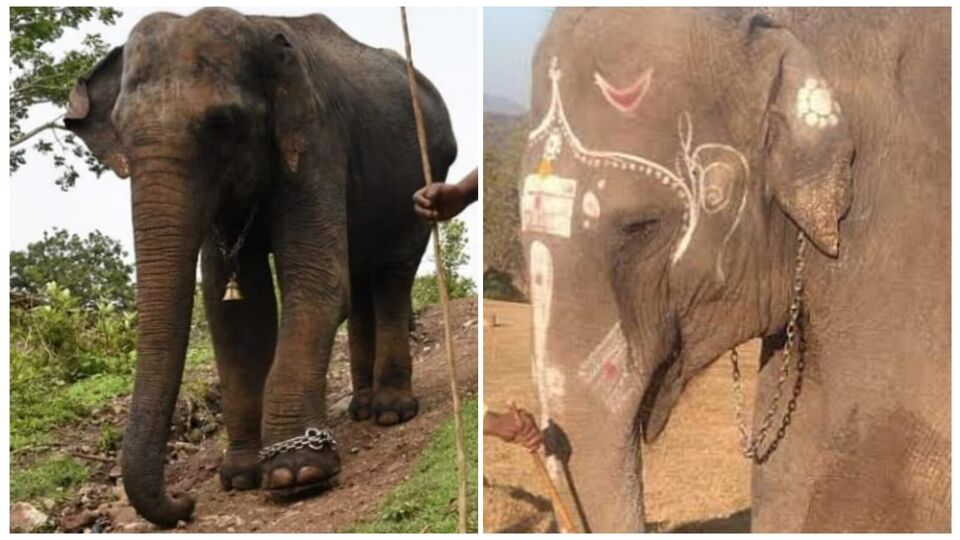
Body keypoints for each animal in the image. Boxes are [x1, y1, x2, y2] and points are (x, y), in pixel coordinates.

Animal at [64, 8, 456, 527]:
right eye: (121, 132)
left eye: (222, 123)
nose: (184, 503)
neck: (256, 26)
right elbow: (234, 308)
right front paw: (240, 476)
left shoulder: (317, 142)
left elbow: (316, 280)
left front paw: (296, 472)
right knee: (361, 276)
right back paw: (361, 409)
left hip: (426, 172)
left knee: (391, 273)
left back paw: (391, 413)